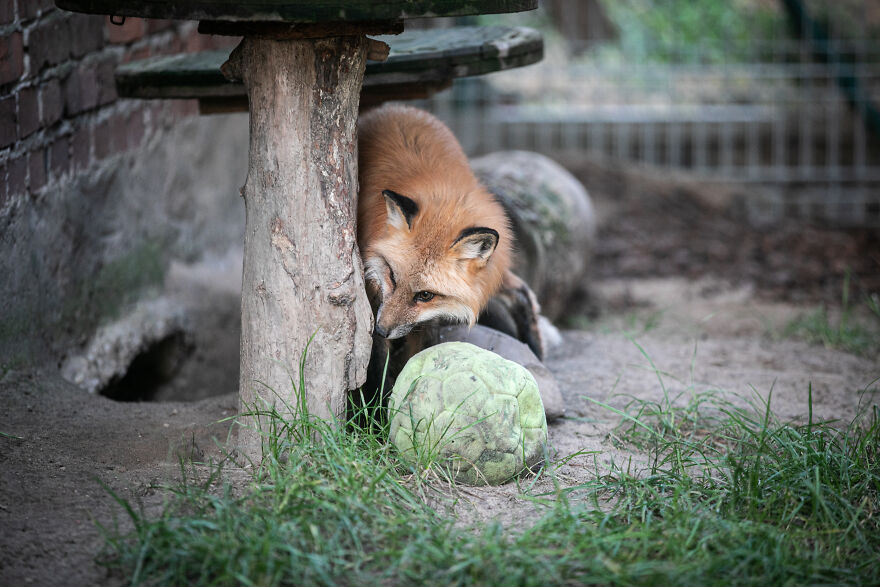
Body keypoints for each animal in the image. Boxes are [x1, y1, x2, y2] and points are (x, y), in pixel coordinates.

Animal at [356, 104, 541, 394]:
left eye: (425, 295)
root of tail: (394, 107)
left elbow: (420, 351)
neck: (446, 201)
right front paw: (379, 403)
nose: (382, 330)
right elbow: (377, 364)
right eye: (393, 277)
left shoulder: (431, 313)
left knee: (521, 292)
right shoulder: (373, 290)